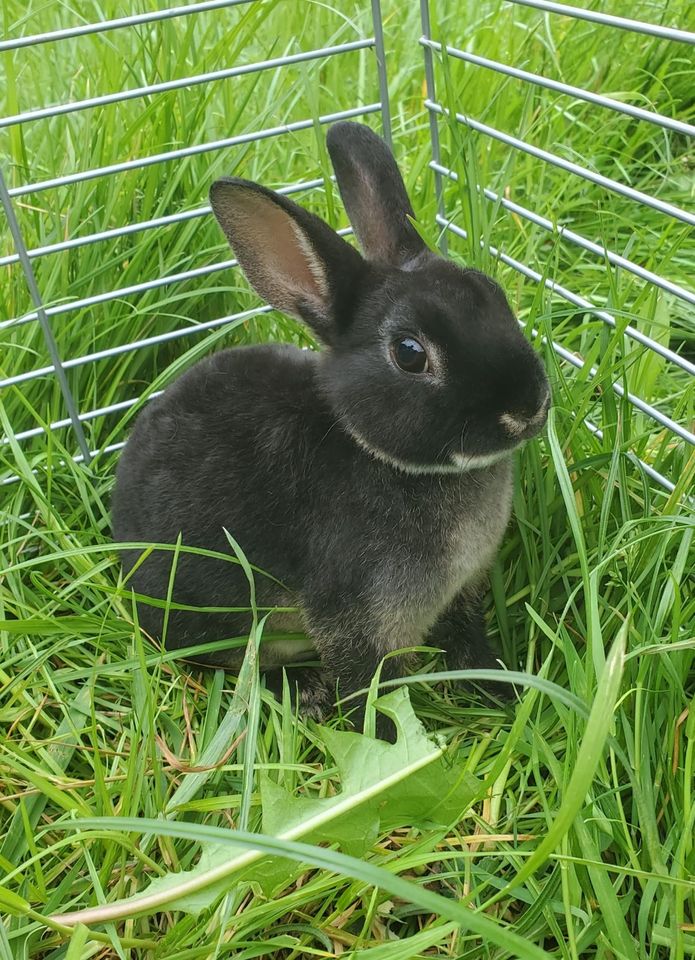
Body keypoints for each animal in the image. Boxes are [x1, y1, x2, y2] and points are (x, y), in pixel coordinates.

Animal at [113, 122, 548, 736]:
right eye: (409, 354)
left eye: (493, 292)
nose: (529, 408)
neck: (383, 455)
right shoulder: (354, 619)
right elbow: (369, 687)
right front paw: (386, 740)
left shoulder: (464, 592)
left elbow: (467, 639)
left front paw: (500, 690)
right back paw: (302, 692)